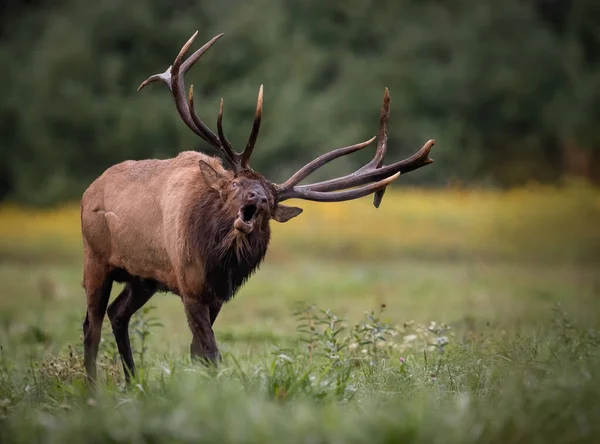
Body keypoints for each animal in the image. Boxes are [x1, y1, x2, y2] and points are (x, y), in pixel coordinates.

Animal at [81, 32, 436, 386]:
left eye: (273, 201)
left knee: (117, 313)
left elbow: (199, 352)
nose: (260, 199)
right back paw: (93, 387)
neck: (216, 259)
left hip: (143, 278)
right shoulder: (189, 283)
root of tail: (88, 191)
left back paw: (132, 381)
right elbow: (210, 350)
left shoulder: (217, 293)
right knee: (91, 325)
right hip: (96, 257)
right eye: (236, 184)